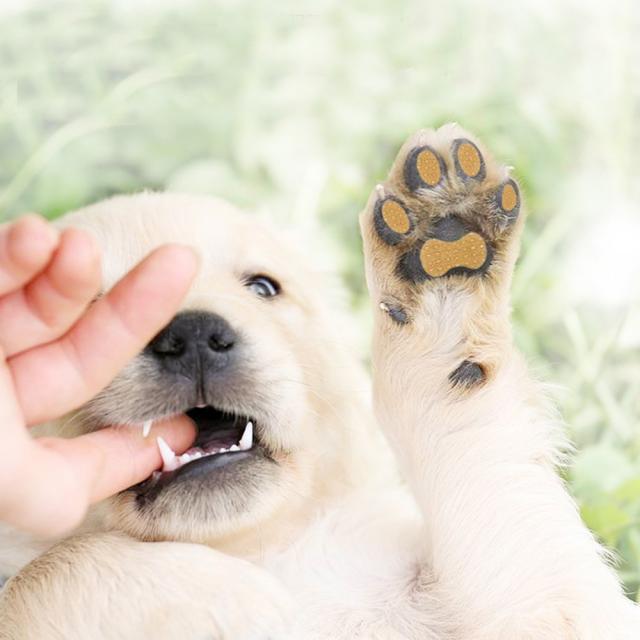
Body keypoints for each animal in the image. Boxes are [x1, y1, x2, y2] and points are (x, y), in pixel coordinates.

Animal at [1, 122, 640, 636]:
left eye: (263, 286)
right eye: (88, 306)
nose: (194, 336)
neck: (254, 546)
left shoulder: (542, 596)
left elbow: (531, 563)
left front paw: (444, 246)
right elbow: (41, 573)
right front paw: (227, 596)